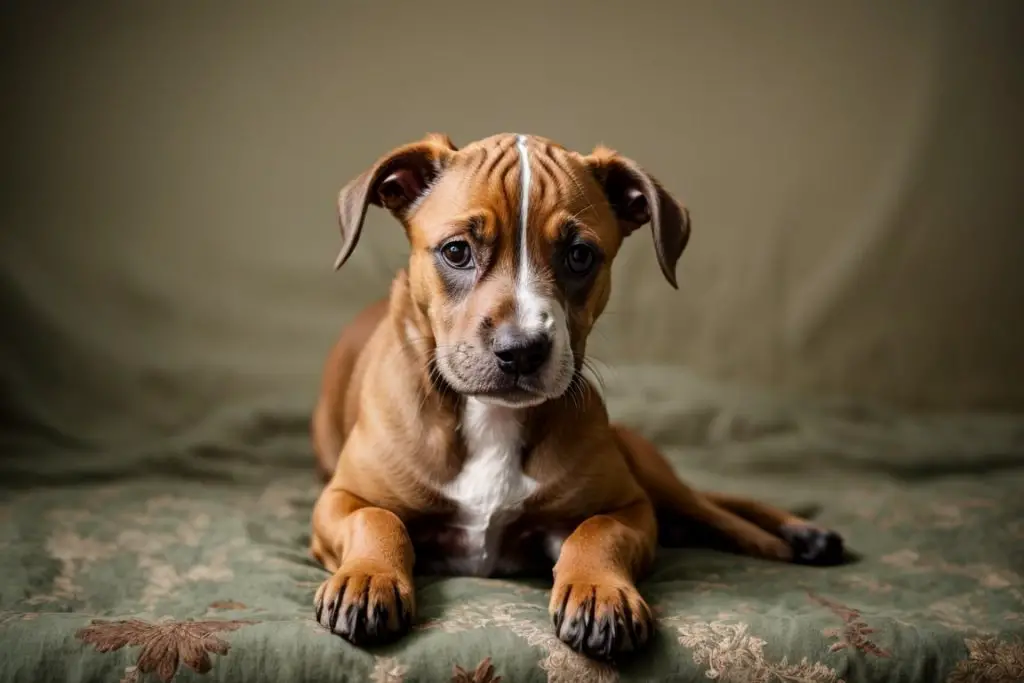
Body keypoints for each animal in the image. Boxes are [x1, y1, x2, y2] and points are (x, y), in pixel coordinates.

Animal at [307, 131, 843, 659]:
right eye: (456, 251)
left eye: (580, 255)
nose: (521, 351)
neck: (492, 419)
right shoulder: (338, 499)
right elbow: (376, 519)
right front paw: (369, 576)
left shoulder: (631, 506)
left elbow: (597, 532)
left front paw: (598, 591)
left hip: (648, 471)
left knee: (718, 510)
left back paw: (802, 535)